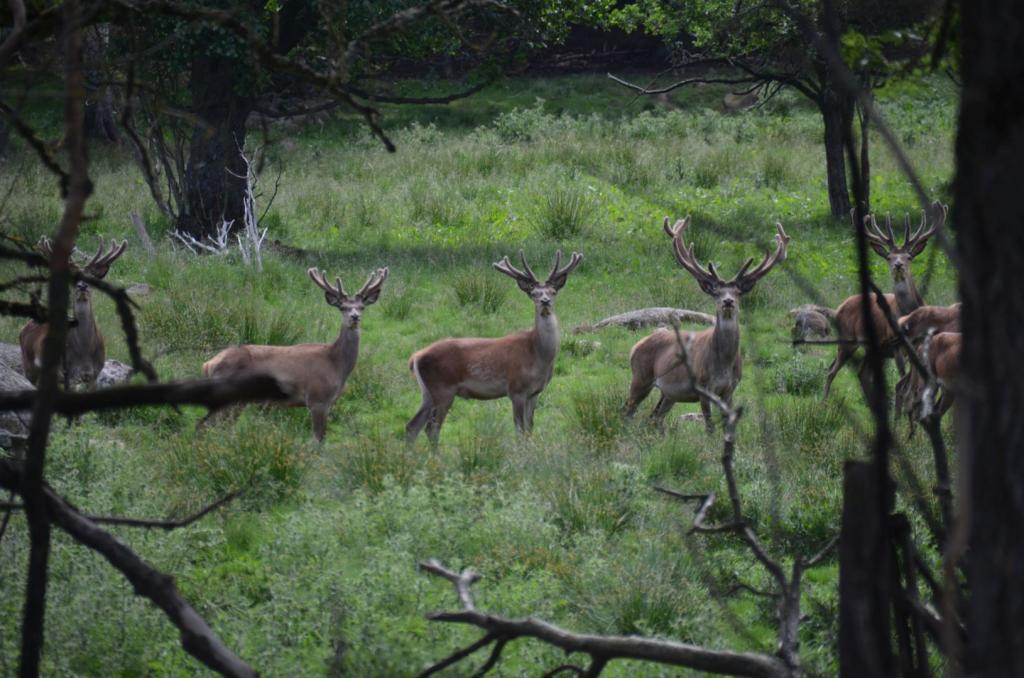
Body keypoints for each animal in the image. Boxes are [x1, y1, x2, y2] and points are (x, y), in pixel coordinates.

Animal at [20, 238, 128, 391]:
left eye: (91, 278)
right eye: (72, 278)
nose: (82, 286)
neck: (84, 352)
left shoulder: (95, 373)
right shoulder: (67, 373)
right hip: (28, 363)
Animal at [199, 266, 387, 446]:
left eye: (362, 307)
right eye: (343, 307)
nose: (354, 317)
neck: (336, 366)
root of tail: (208, 364)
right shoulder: (317, 399)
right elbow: (318, 439)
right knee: (206, 425)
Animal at [407, 249, 585, 446]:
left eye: (553, 292)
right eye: (533, 293)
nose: (545, 302)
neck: (538, 356)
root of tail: (416, 356)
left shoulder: (535, 392)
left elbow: (530, 428)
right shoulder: (516, 389)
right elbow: (519, 429)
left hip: (428, 393)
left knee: (412, 426)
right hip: (443, 389)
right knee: (431, 428)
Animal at [622, 218, 790, 430]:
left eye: (737, 292)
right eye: (716, 292)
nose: (728, 301)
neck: (723, 364)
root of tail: (635, 345)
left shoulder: (730, 389)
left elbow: (727, 424)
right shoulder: (703, 388)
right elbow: (709, 427)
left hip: (669, 394)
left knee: (654, 418)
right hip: (640, 377)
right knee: (627, 411)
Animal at [819, 204, 946, 401]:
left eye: (909, 257)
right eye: (889, 257)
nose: (898, 265)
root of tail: (839, 308)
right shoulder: (895, 346)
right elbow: (902, 377)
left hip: (872, 349)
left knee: (862, 373)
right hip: (847, 338)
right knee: (832, 370)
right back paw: (824, 402)